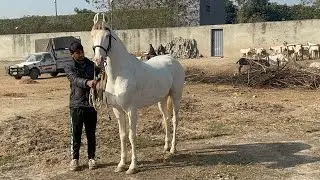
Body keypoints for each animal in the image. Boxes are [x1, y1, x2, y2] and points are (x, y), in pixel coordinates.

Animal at [90, 13, 185, 174]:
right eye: (92, 35)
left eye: (108, 35)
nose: (98, 60)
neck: (120, 74)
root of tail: (172, 59)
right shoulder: (118, 111)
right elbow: (122, 136)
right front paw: (121, 164)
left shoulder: (131, 110)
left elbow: (132, 136)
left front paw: (132, 167)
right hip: (161, 100)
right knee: (166, 119)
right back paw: (166, 147)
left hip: (176, 97)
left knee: (174, 120)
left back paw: (173, 148)